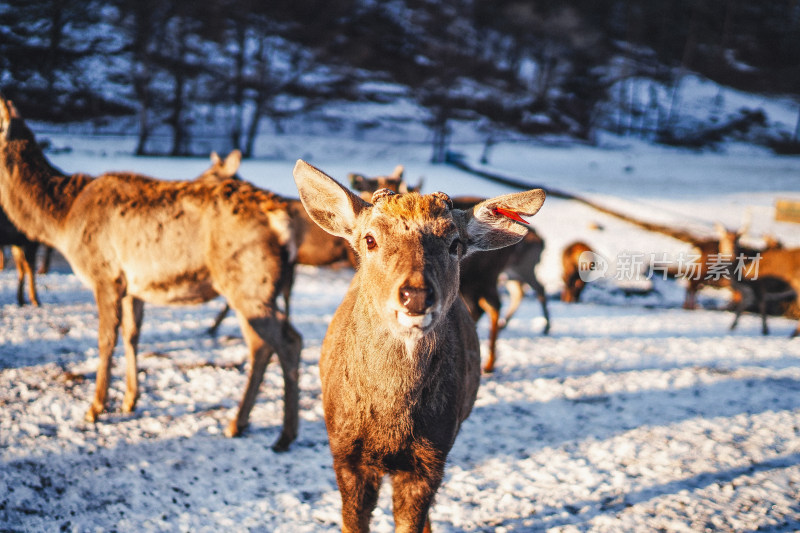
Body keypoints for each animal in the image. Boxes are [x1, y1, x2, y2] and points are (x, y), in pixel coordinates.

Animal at [0, 94, 304, 448]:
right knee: (260, 346)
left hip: (249, 284)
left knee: (288, 341)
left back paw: (283, 434)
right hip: (252, 289)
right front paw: (130, 400)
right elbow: (132, 335)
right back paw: (239, 423)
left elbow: (105, 339)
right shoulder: (134, 287)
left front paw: (95, 408)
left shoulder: (104, 275)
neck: (62, 221)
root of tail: (282, 220)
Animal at [296, 159, 552, 532]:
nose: (415, 295)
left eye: (455, 244)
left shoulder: (431, 456)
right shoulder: (345, 453)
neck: (390, 425)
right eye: (370, 239)